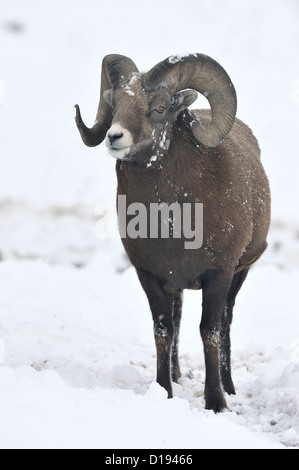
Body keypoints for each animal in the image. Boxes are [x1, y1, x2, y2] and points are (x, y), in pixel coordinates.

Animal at [75, 52, 272, 412]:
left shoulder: (219, 275)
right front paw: (163, 390)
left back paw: (230, 386)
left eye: (160, 108)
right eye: (115, 103)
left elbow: (210, 331)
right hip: (177, 286)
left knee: (226, 323)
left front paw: (216, 402)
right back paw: (177, 376)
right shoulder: (151, 276)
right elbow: (163, 331)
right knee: (178, 319)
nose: (114, 137)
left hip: (240, 275)